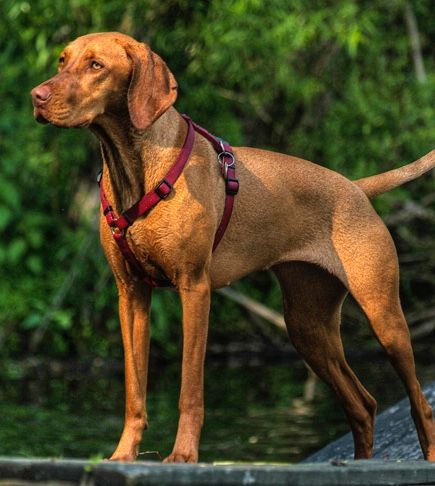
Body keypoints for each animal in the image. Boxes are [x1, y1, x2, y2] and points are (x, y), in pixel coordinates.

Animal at [31, 32, 435, 462]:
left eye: (96, 65)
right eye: (62, 61)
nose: (36, 96)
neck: (137, 166)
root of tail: (356, 188)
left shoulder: (195, 289)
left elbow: (190, 389)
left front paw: (183, 455)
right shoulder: (131, 295)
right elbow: (134, 392)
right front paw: (124, 454)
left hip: (384, 317)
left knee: (418, 403)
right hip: (308, 327)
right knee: (363, 404)